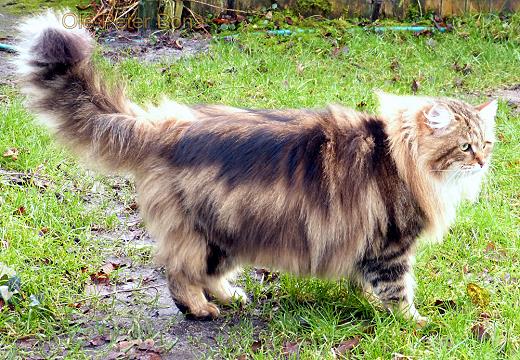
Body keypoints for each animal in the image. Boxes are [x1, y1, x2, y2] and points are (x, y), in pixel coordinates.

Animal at [14, 10, 498, 326]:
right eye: (465, 146)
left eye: (487, 144)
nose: (482, 162)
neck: (399, 156)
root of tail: (167, 125)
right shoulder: (392, 246)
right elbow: (399, 292)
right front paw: (415, 323)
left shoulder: (367, 244)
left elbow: (366, 280)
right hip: (210, 230)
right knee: (180, 273)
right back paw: (202, 309)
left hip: (232, 233)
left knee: (205, 273)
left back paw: (232, 297)